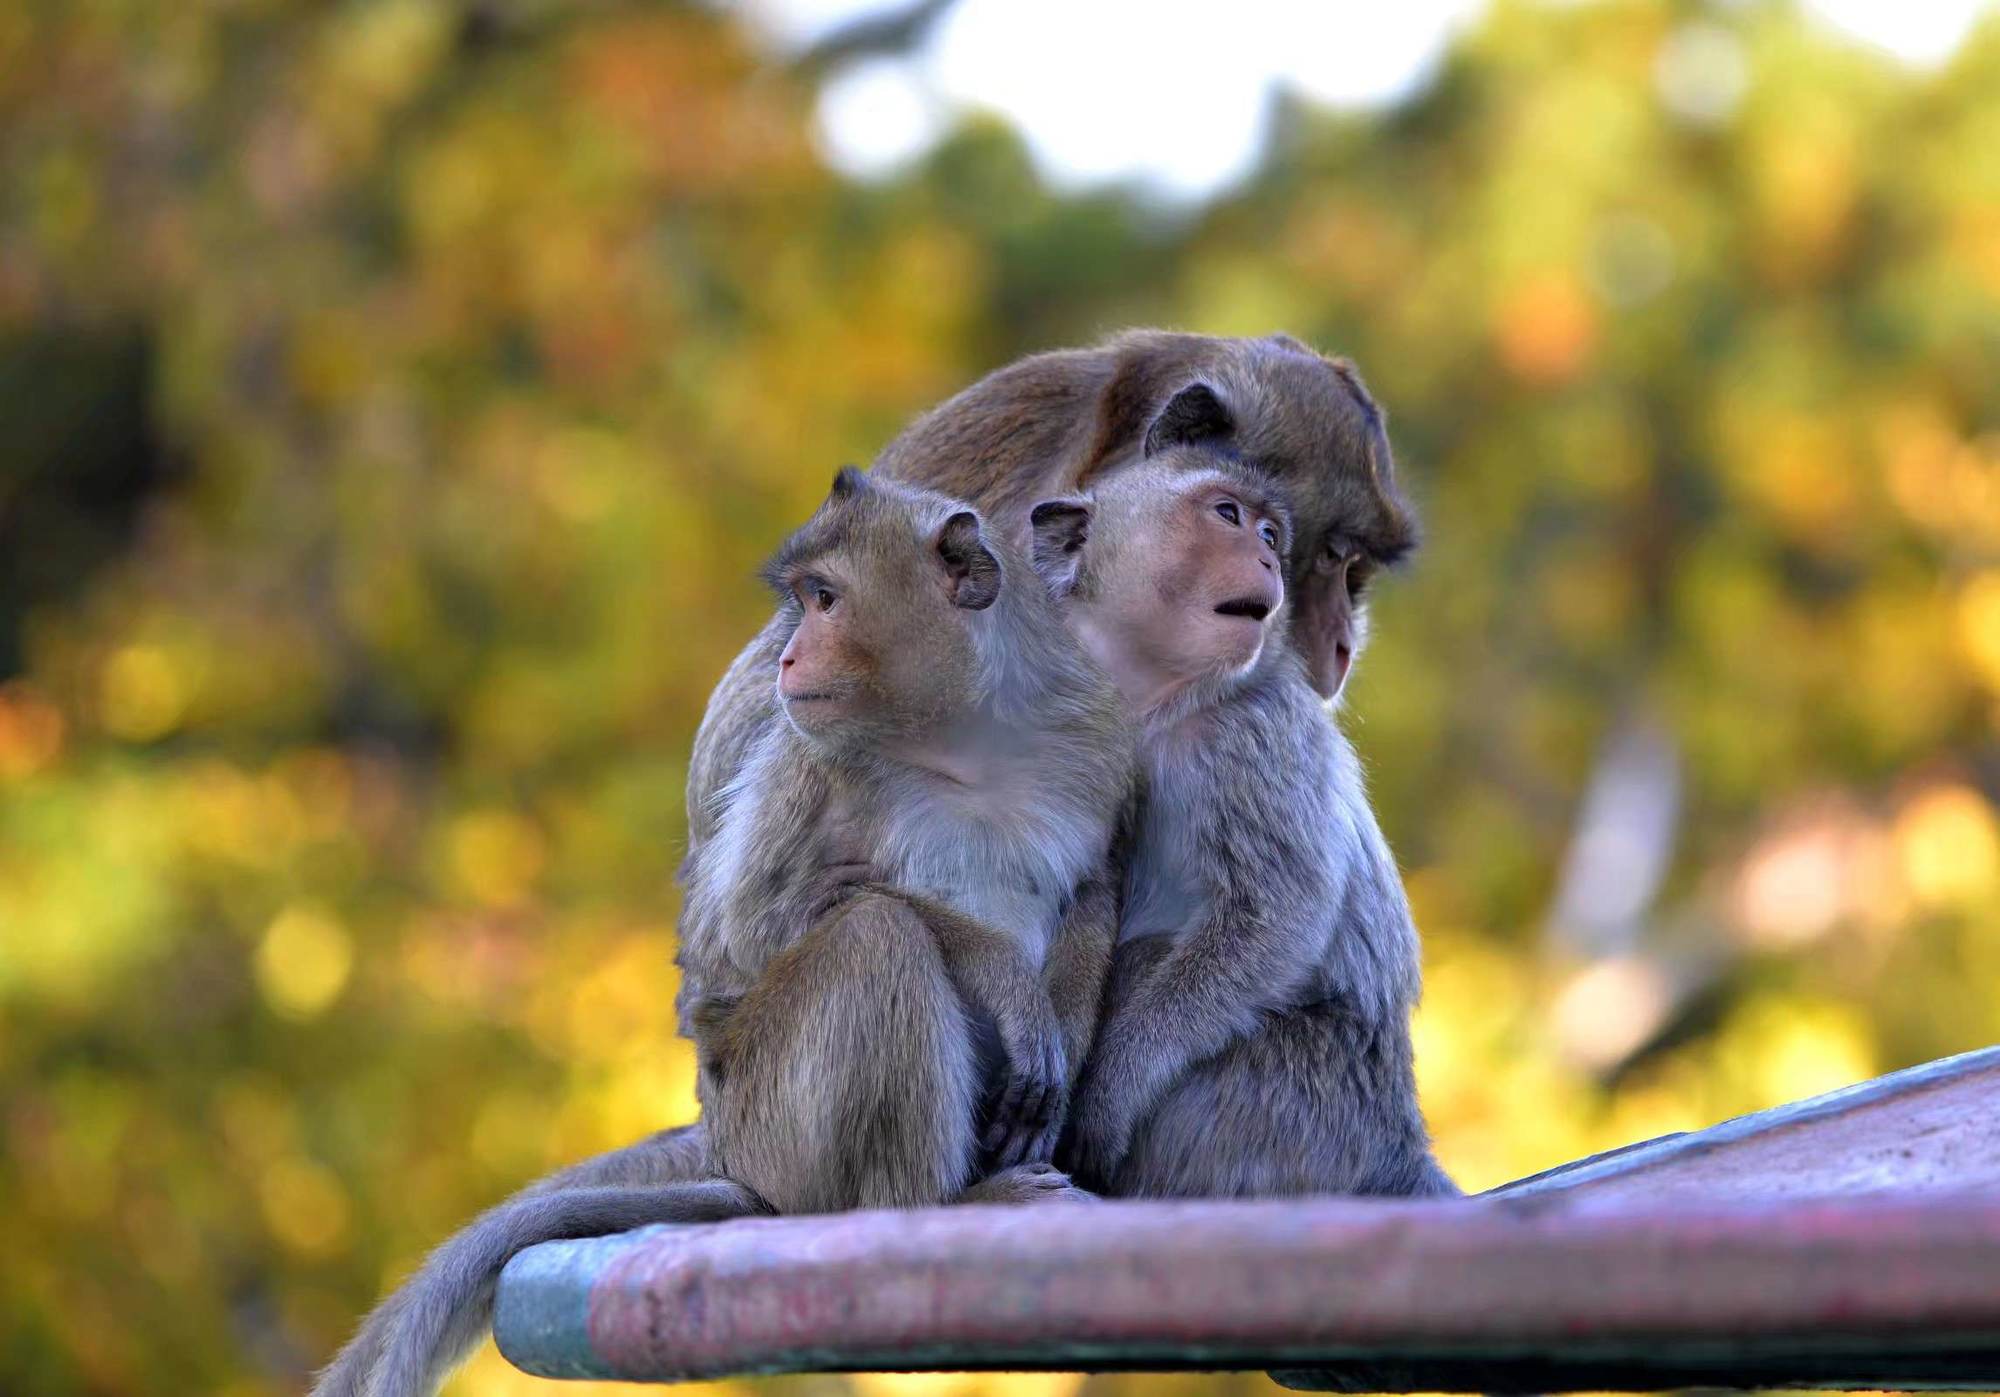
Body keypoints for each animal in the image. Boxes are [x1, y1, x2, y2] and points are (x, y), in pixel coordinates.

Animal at [680, 464, 1136, 1208]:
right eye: (804, 599)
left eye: (825, 599)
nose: (786, 659)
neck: (965, 743)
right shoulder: (809, 761)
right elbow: (743, 942)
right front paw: (1002, 976)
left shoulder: (1102, 740)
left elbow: (1094, 884)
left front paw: (1060, 1052)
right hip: (766, 1129)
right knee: (876, 935)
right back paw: (943, 1202)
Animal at [1032, 438, 1456, 1200]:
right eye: (1228, 515)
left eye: (1269, 534)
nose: (1264, 558)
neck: (1155, 698)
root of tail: (1400, 1141)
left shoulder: (1248, 733)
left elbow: (1275, 911)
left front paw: (1112, 1090)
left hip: (1295, 1101)